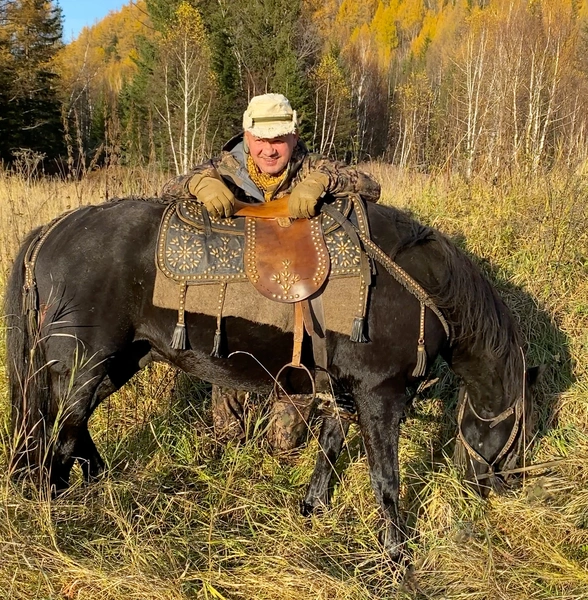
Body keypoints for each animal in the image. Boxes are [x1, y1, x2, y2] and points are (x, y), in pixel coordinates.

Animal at [4, 200, 540, 556]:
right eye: (521, 432)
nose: (500, 490)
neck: (417, 288)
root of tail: (52, 231)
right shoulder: (380, 397)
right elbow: (386, 479)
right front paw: (397, 555)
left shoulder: (343, 392)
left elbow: (329, 449)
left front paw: (314, 508)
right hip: (84, 365)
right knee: (59, 430)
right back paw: (53, 498)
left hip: (117, 362)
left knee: (72, 427)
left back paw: (95, 480)